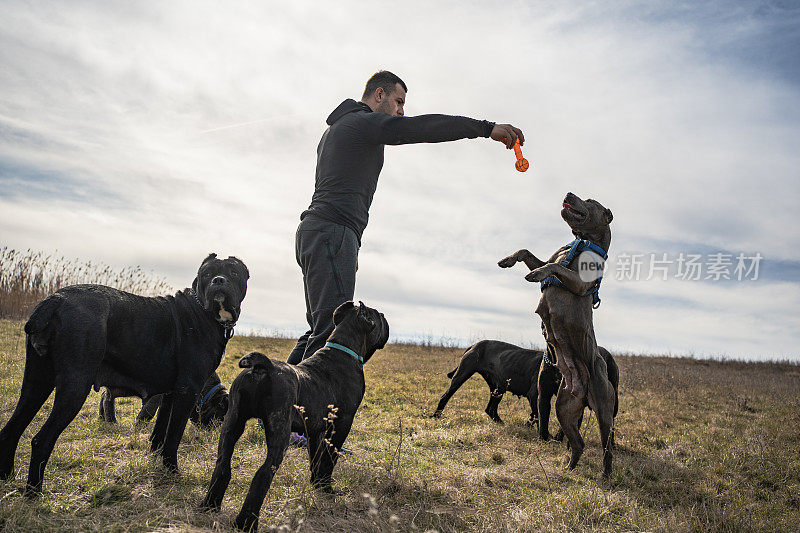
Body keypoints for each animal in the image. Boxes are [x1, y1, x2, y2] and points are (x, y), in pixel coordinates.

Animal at [99, 372, 228, 430]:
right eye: (221, 409)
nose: (216, 429)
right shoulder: (157, 396)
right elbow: (148, 412)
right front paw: (139, 427)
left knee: (105, 395)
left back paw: (102, 419)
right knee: (107, 399)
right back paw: (112, 422)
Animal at [200, 302, 388, 528]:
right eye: (379, 316)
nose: (384, 315)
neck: (344, 346)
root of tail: (263, 367)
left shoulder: (315, 431)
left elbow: (316, 460)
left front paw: (317, 485)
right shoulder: (341, 425)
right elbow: (329, 459)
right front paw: (327, 490)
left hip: (232, 422)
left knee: (222, 464)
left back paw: (210, 506)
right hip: (279, 431)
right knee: (263, 473)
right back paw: (246, 522)